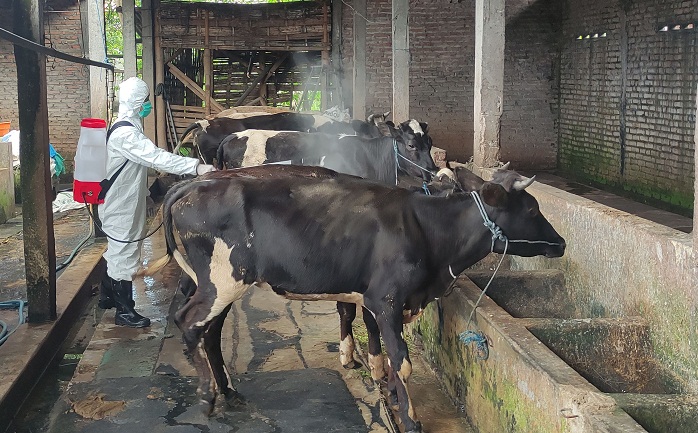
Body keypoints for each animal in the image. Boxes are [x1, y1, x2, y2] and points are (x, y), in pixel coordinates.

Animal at [143, 164, 564, 430]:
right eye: (532, 209)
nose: (560, 243)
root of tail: (192, 185)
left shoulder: (380, 300)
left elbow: (382, 349)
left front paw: (388, 391)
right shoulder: (386, 298)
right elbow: (402, 360)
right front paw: (409, 418)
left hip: (225, 284)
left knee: (211, 331)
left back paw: (229, 392)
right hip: (221, 280)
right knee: (188, 323)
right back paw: (206, 398)